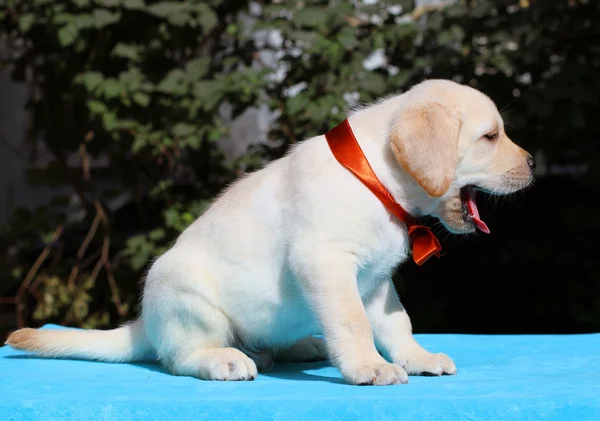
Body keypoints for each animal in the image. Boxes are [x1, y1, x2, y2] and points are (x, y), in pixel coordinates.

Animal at [7, 78, 536, 384]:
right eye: (491, 137)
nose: (533, 163)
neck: (374, 179)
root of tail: (144, 325)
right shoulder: (326, 262)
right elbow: (353, 322)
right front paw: (369, 366)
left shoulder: (377, 281)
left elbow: (395, 323)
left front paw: (414, 357)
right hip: (187, 297)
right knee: (178, 356)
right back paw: (226, 360)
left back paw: (300, 346)